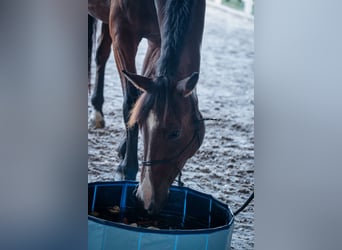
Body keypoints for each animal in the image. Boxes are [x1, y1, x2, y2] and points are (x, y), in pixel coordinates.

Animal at [89, 0, 206, 215]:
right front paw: (126, 168)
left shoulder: (157, 40)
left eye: (176, 133)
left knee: (101, 53)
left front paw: (124, 148)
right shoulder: (122, 32)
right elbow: (131, 101)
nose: (146, 197)